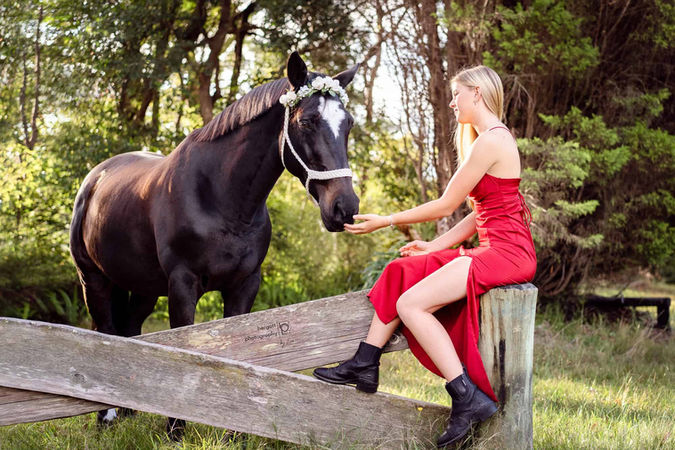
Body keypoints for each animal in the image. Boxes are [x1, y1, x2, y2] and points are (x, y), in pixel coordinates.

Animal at [69, 51, 360, 438]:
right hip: (94, 280)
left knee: (130, 329)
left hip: (143, 287)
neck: (221, 199)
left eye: (349, 124)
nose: (345, 208)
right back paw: (108, 415)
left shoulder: (244, 285)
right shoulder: (182, 285)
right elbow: (183, 347)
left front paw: (234, 431)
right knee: (106, 330)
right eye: (308, 120)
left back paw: (130, 409)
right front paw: (176, 429)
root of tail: (95, 178)